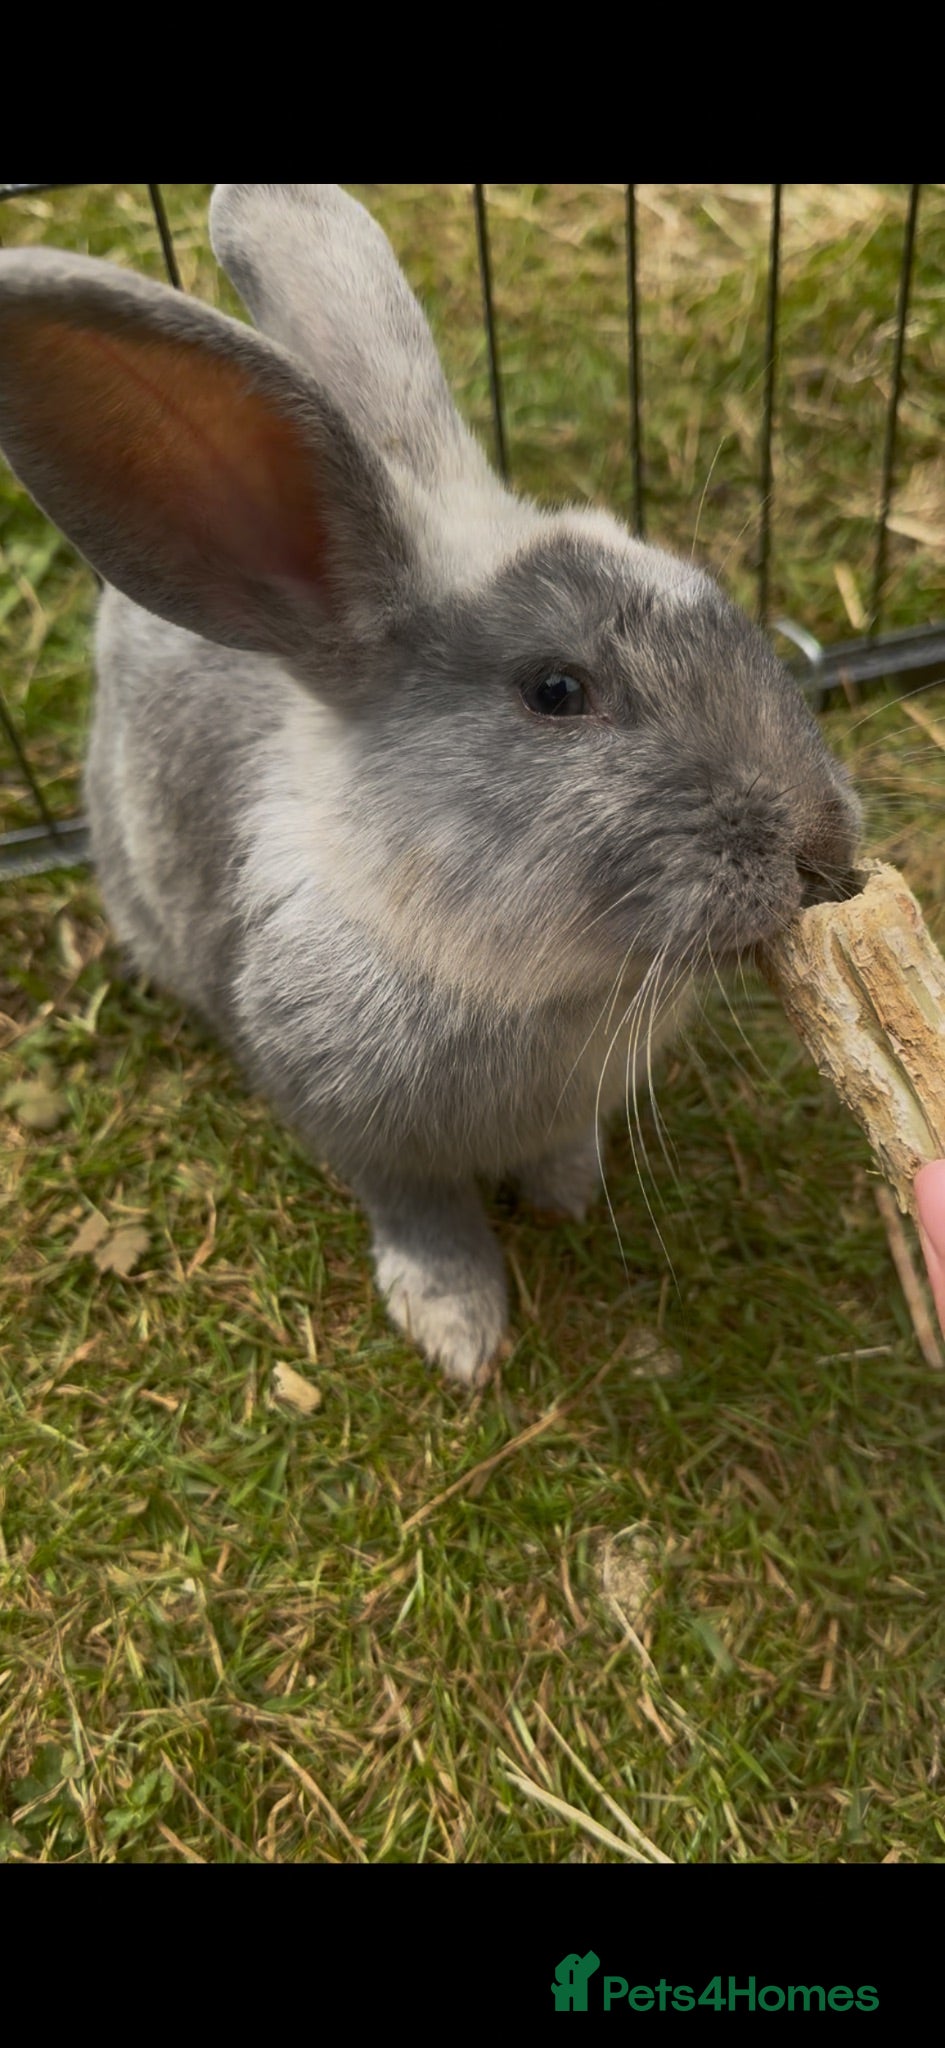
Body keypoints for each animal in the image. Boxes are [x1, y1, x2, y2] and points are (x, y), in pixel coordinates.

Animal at [0, 184, 861, 1385]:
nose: (826, 847)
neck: (519, 976)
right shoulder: (359, 1129)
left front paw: (564, 1195)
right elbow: (423, 1213)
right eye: (555, 691)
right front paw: (457, 1328)